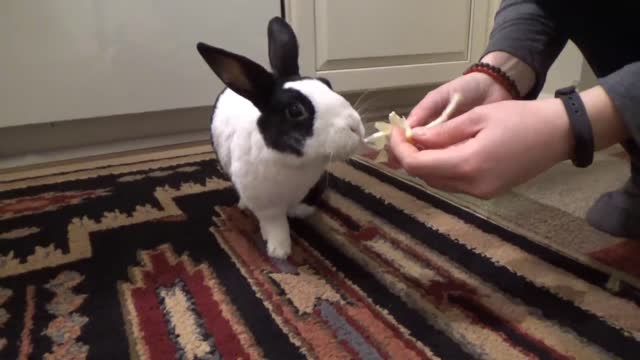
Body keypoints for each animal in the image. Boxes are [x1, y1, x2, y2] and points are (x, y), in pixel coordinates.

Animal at [195, 17, 364, 258]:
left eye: (327, 83)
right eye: (294, 111)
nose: (355, 126)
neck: (296, 164)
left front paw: (299, 213)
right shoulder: (266, 205)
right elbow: (276, 224)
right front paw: (279, 251)